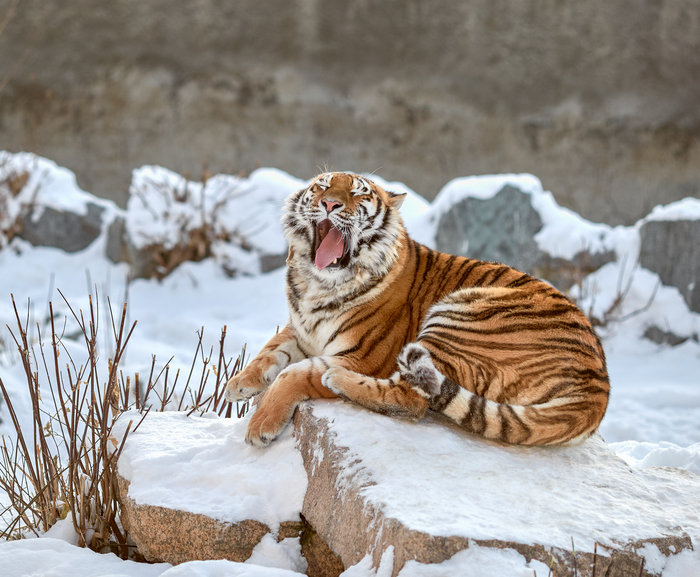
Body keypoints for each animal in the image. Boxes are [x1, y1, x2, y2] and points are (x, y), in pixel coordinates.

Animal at [224, 173, 608, 448]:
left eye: (359, 194)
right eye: (322, 186)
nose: (330, 203)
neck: (317, 284)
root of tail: (599, 387)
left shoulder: (363, 355)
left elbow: (295, 373)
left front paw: (261, 425)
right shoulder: (302, 329)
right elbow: (271, 349)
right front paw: (239, 383)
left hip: (460, 316)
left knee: (412, 398)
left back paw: (337, 380)